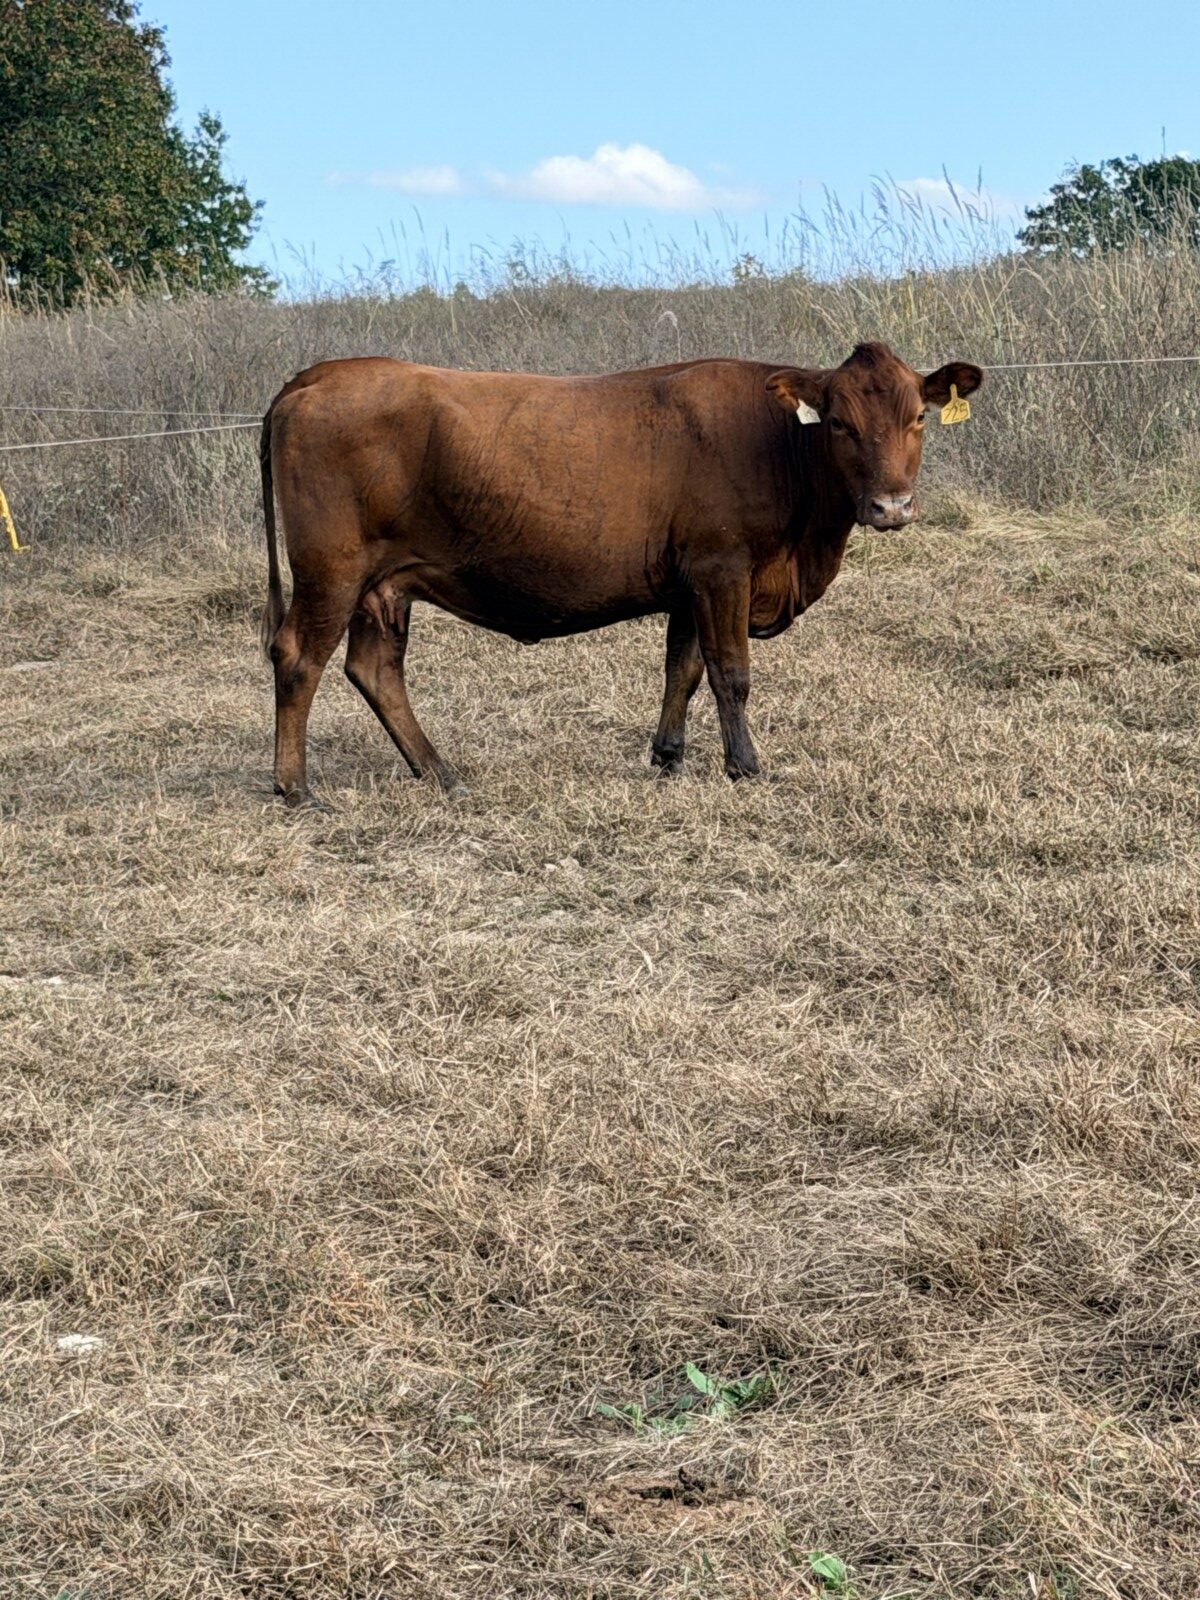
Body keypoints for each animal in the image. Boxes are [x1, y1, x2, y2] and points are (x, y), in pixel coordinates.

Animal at [259, 342, 982, 806]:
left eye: (918, 417)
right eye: (837, 422)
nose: (892, 507)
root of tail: (318, 375)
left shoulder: (690, 583)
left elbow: (682, 670)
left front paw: (668, 756)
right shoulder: (724, 569)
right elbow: (730, 673)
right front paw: (745, 766)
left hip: (385, 585)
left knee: (375, 671)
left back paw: (441, 773)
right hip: (332, 570)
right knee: (298, 657)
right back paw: (296, 788)